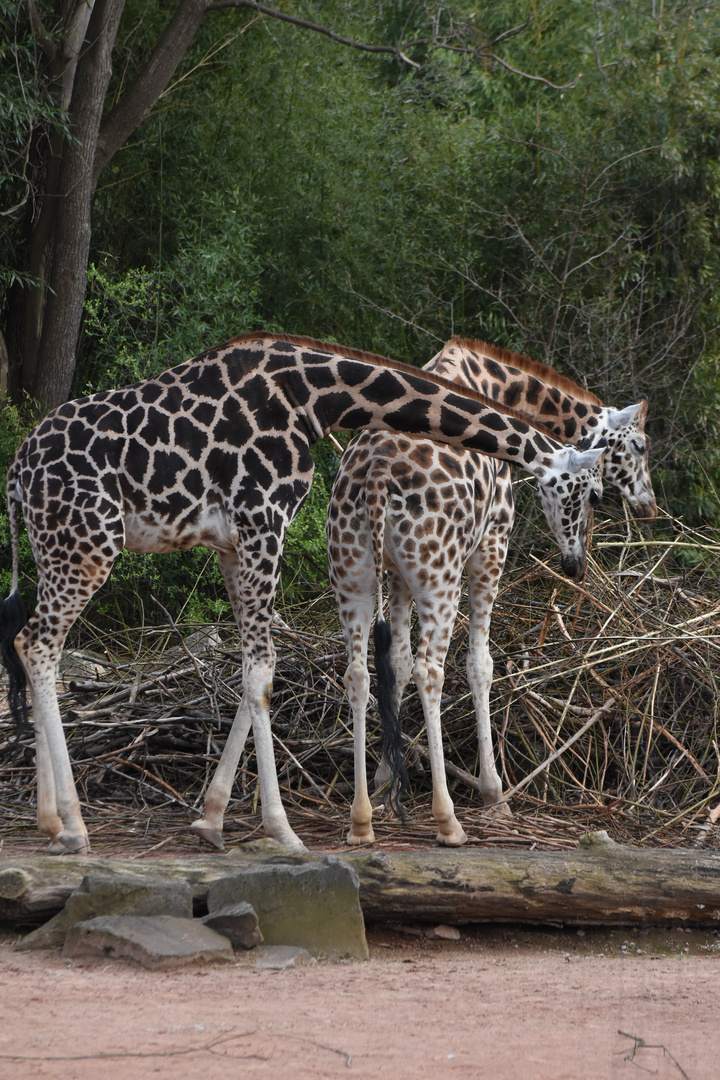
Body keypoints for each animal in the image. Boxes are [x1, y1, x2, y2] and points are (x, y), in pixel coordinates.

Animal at [0, 328, 604, 851]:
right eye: (593, 491)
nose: (576, 563)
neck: (314, 397)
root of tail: (16, 473)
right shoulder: (264, 522)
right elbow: (264, 673)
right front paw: (281, 830)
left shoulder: (233, 543)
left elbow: (253, 670)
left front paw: (213, 818)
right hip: (89, 544)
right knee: (38, 644)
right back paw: (73, 824)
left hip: (54, 547)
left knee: (30, 645)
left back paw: (49, 821)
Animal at [330, 332, 656, 846]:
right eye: (640, 446)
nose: (650, 506)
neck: (494, 385)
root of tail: (377, 480)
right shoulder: (492, 540)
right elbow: (479, 664)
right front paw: (494, 794)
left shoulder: (398, 576)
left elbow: (394, 664)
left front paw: (386, 783)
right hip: (440, 574)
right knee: (431, 670)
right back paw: (448, 819)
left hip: (353, 574)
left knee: (359, 673)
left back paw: (361, 821)